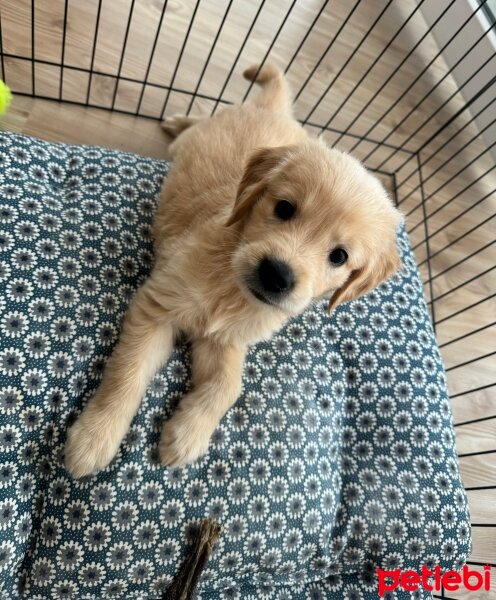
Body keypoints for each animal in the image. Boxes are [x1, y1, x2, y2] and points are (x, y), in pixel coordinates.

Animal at [64, 64, 402, 478]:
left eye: (339, 256)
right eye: (284, 208)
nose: (277, 274)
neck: (231, 287)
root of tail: (273, 110)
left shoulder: (225, 340)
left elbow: (228, 387)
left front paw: (187, 434)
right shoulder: (157, 308)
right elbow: (126, 374)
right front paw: (94, 438)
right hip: (191, 141)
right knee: (198, 123)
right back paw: (179, 119)